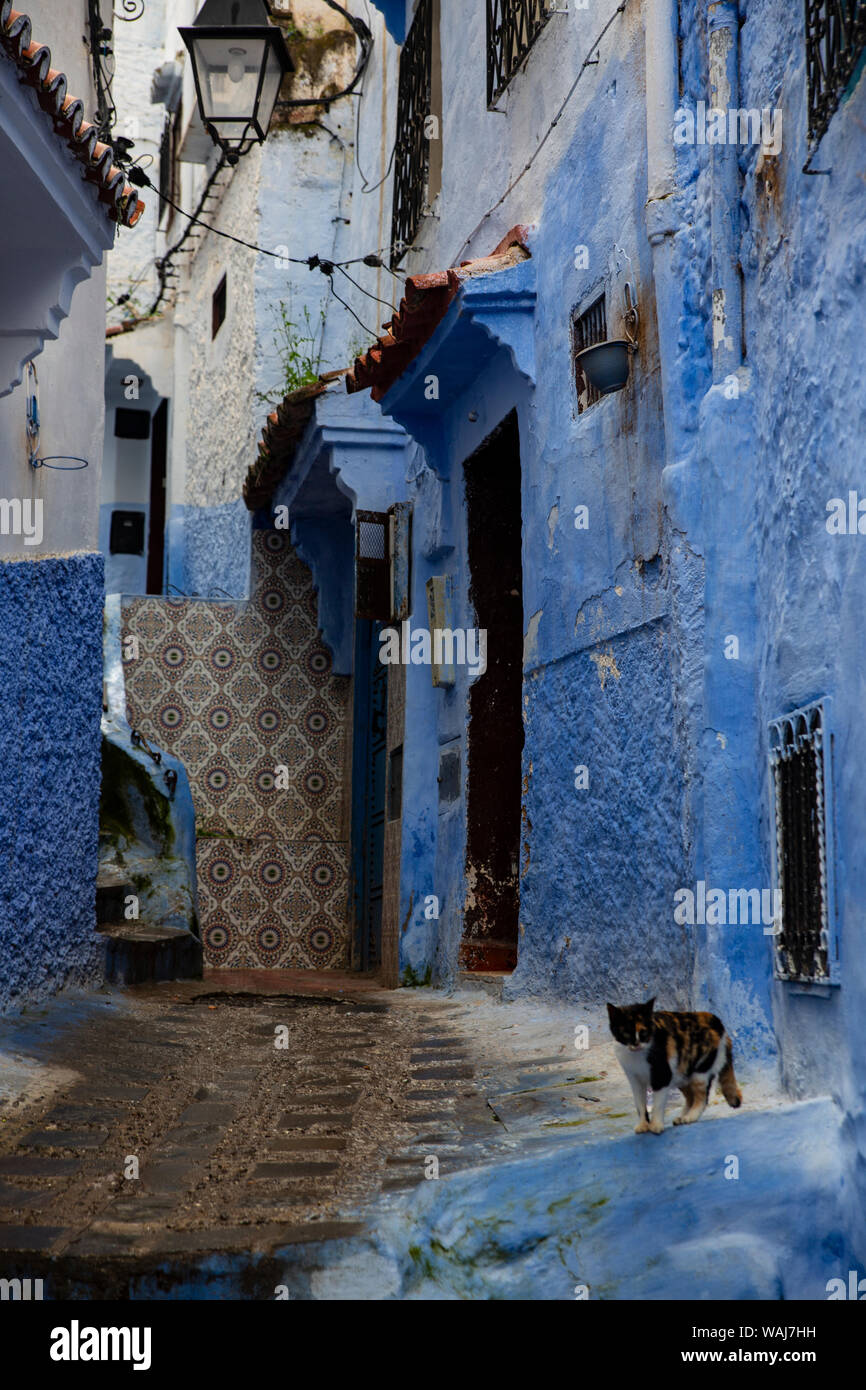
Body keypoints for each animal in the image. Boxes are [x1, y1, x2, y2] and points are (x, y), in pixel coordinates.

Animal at [606, 1006, 739, 1134]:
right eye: (625, 1033)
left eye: (644, 1033)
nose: (636, 1043)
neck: (636, 1056)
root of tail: (716, 1020)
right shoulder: (635, 1080)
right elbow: (640, 1105)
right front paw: (643, 1125)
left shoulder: (662, 1076)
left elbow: (658, 1104)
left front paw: (656, 1125)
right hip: (682, 1074)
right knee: (691, 1097)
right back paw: (681, 1117)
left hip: (699, 1073)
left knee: (702, 1098)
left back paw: (690, 1117)